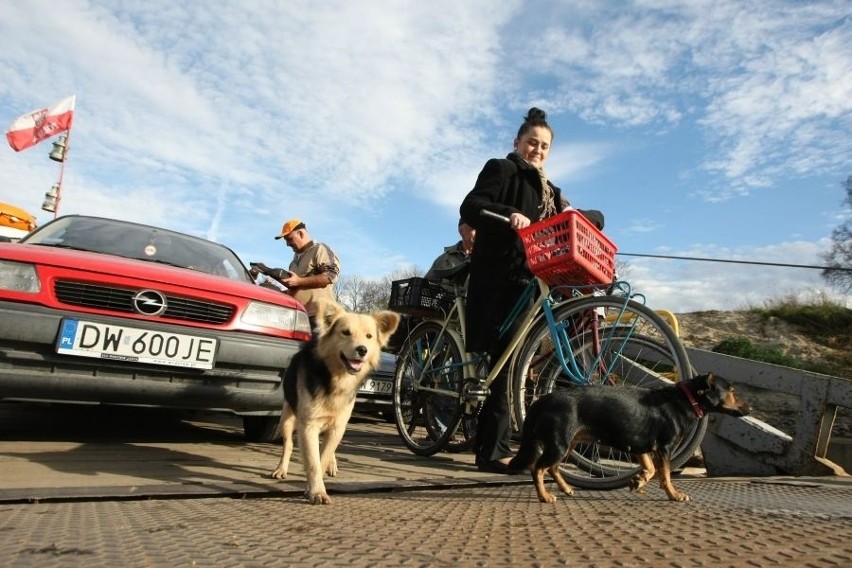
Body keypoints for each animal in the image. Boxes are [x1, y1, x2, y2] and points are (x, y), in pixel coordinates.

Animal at [272, 300, 402, 504]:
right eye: (345, 332)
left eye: (369, 336)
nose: (362, 349)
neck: (338, 379)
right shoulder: (308, 425)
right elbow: (313, 461)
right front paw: (317, 491)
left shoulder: (338, 426)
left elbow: (322, 458)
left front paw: (315, 485)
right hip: (287, 417)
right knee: (289, 444)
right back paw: (281, 469)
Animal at [510, 374, 748, 504]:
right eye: (731, 391)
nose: (750, 408)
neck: (687, 399)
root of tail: (541, 401)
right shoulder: (664, 448)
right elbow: (665, 476)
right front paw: (674, 495)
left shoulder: (640, 446)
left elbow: (650, 469)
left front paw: (638, 481)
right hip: (560, 443)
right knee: (538, 468)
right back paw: (544, 496)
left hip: (568, 443)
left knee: (552, 467)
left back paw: (566, 488)